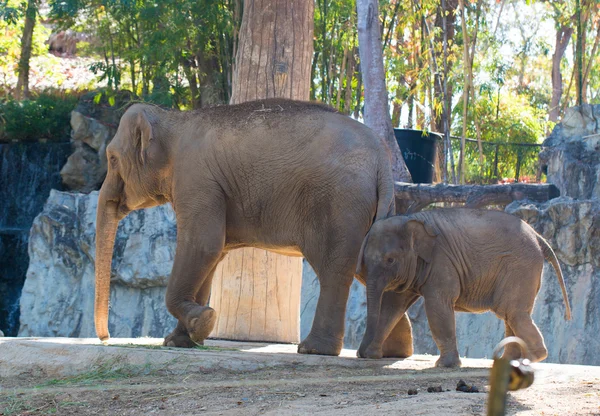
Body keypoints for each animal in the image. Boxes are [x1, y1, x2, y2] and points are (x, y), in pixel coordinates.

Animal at [94, 97, 396, 354]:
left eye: (112, 158)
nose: (106, 338)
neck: (172, 119)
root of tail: (383, 159)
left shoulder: (197, 181)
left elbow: (202, 246)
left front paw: (203, 322)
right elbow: (211, 256)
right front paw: (181, 340)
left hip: (339, 204)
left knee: (334, 271)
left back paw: (314, 349)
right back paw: (386, 352)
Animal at [356, 208, 572, 368]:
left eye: (390, 260)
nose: (361, 354)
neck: (410, 219)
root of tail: (539, 237)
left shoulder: (441, 260)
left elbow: (438, 305)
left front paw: (444, 366)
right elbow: (393, 306)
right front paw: (373, 354)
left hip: (521, 266)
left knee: (512, 312)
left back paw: (529, 359)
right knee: (511, 314)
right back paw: (508, 362)